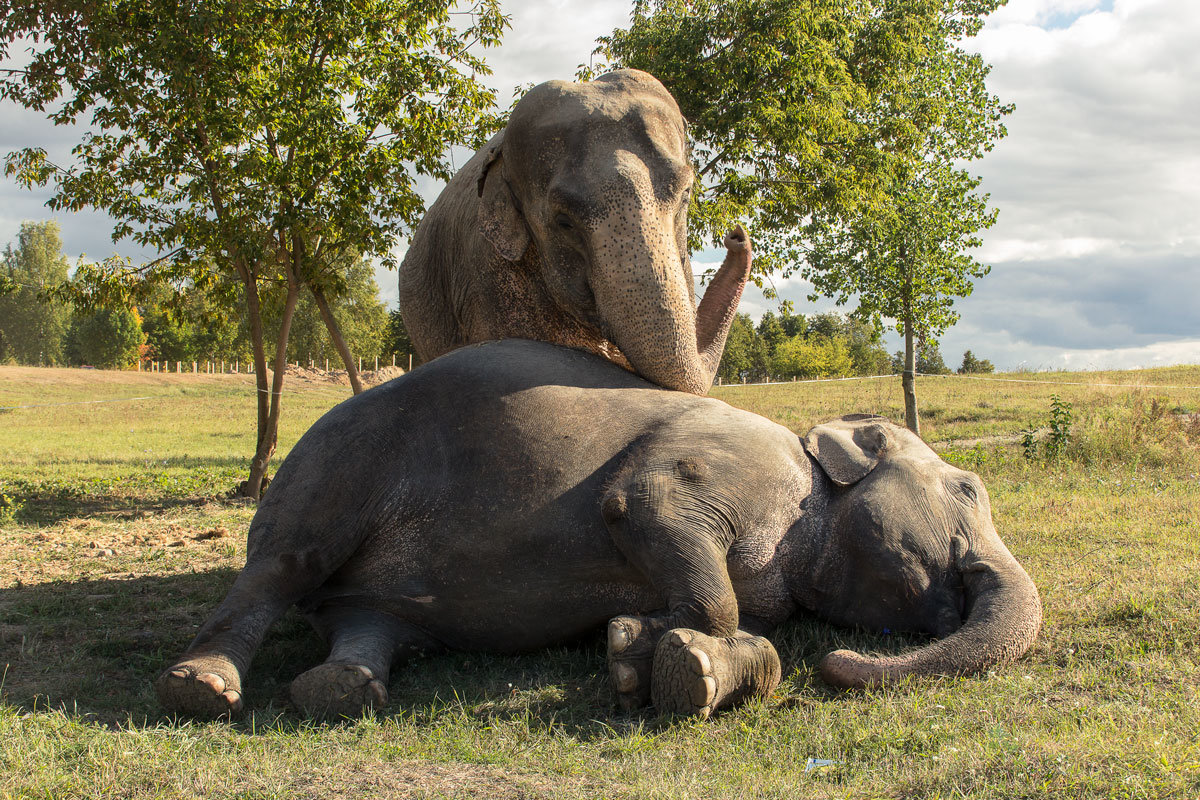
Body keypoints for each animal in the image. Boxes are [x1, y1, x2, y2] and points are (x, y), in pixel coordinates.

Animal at [157, 338, 1041, 719]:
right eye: (970, 488)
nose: (836, 664)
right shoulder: (728, 463)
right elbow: (643, 507)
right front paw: (658, 659)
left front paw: (643, 653)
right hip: (336, 464)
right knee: (282, 566)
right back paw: (203, 686)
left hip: (377, 594)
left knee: (370, 625)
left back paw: (340, 691)